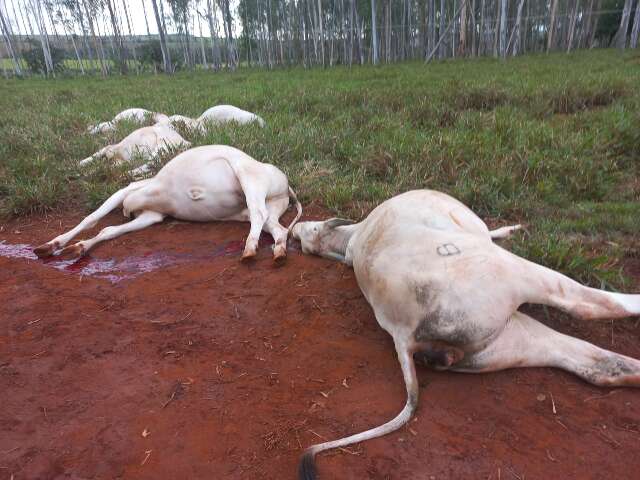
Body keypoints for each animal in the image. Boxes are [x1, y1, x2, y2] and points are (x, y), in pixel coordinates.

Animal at [34, 144, 302, 260]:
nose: (128, 210)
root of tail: (286, 182)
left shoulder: (130, 192)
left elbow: (93, 217)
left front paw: (54, 244)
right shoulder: (151, 215)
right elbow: (107, 228)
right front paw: (71, 247)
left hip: (248, 178)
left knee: (258, 213)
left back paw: (249, 249)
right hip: (266, 208)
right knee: (277, 227)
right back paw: (278, 251)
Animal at [294, 189, 640, 478]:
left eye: (310, 232)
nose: (296, 231)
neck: (356, 237)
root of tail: (402, 332)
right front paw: (512, 230)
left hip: (504, 341)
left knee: (594, 364)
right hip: (516, 273)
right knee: (589, 305)